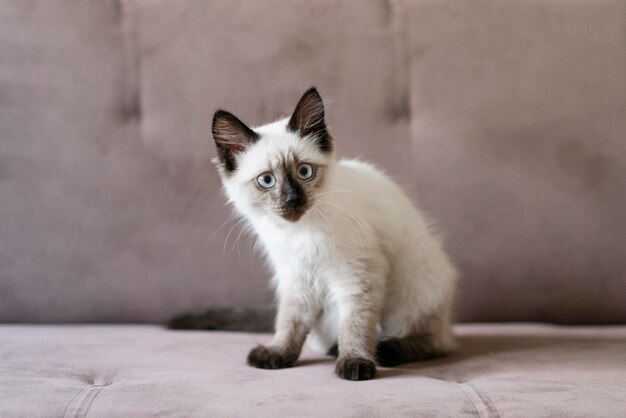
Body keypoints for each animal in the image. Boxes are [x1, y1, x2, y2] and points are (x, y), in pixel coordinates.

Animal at [208, 86, 454, 380]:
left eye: (304, 172)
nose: (293, 200)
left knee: (437, 342)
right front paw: (278, 354)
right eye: (267, 180)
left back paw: (386, 350)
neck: (299, 232)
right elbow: (290, 323)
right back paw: (335, 349)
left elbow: (355, 325)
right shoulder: (297, 278)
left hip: (414, 292)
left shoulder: (358, 274)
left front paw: (355, 363)